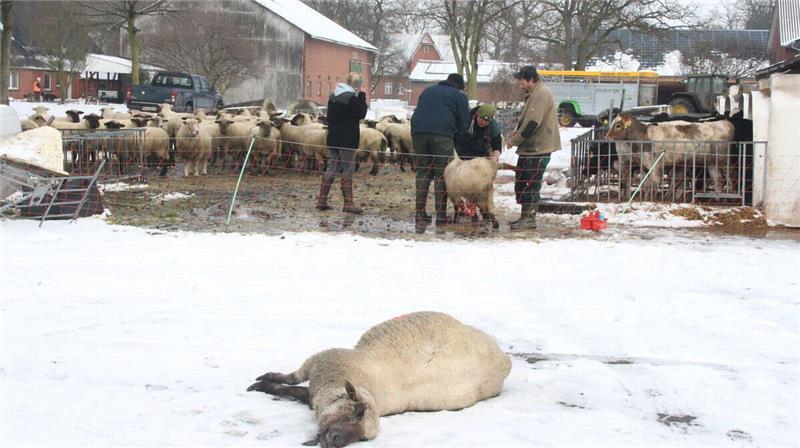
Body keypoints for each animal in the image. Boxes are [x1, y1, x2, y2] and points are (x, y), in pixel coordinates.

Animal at [247, 311, 511, 448]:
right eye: (358, 411)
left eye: (363, 438)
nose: (335, 441)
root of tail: (505, 360)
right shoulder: (318, 366)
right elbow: (292, 380)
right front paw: (264, 381)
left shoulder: (320, 379)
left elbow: (292, 387)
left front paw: (265, 384)